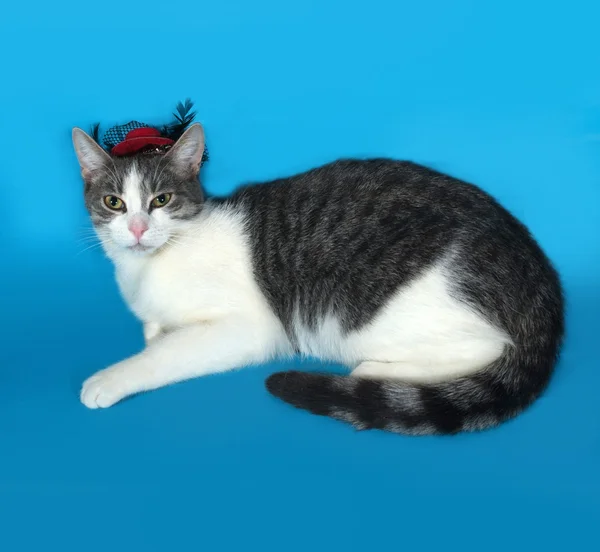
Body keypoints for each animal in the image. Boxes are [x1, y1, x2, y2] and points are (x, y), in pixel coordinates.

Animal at [72, 123, 564, 434]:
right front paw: (154, 331)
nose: (138, 229)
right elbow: (154, 333)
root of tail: (540, 281)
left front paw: (109, 379)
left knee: (486, 348)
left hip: (370, 314)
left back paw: (374, 372)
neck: (146, 271)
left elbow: (163, 354)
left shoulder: (251, 327)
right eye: (114, 203)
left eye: (162, 200)